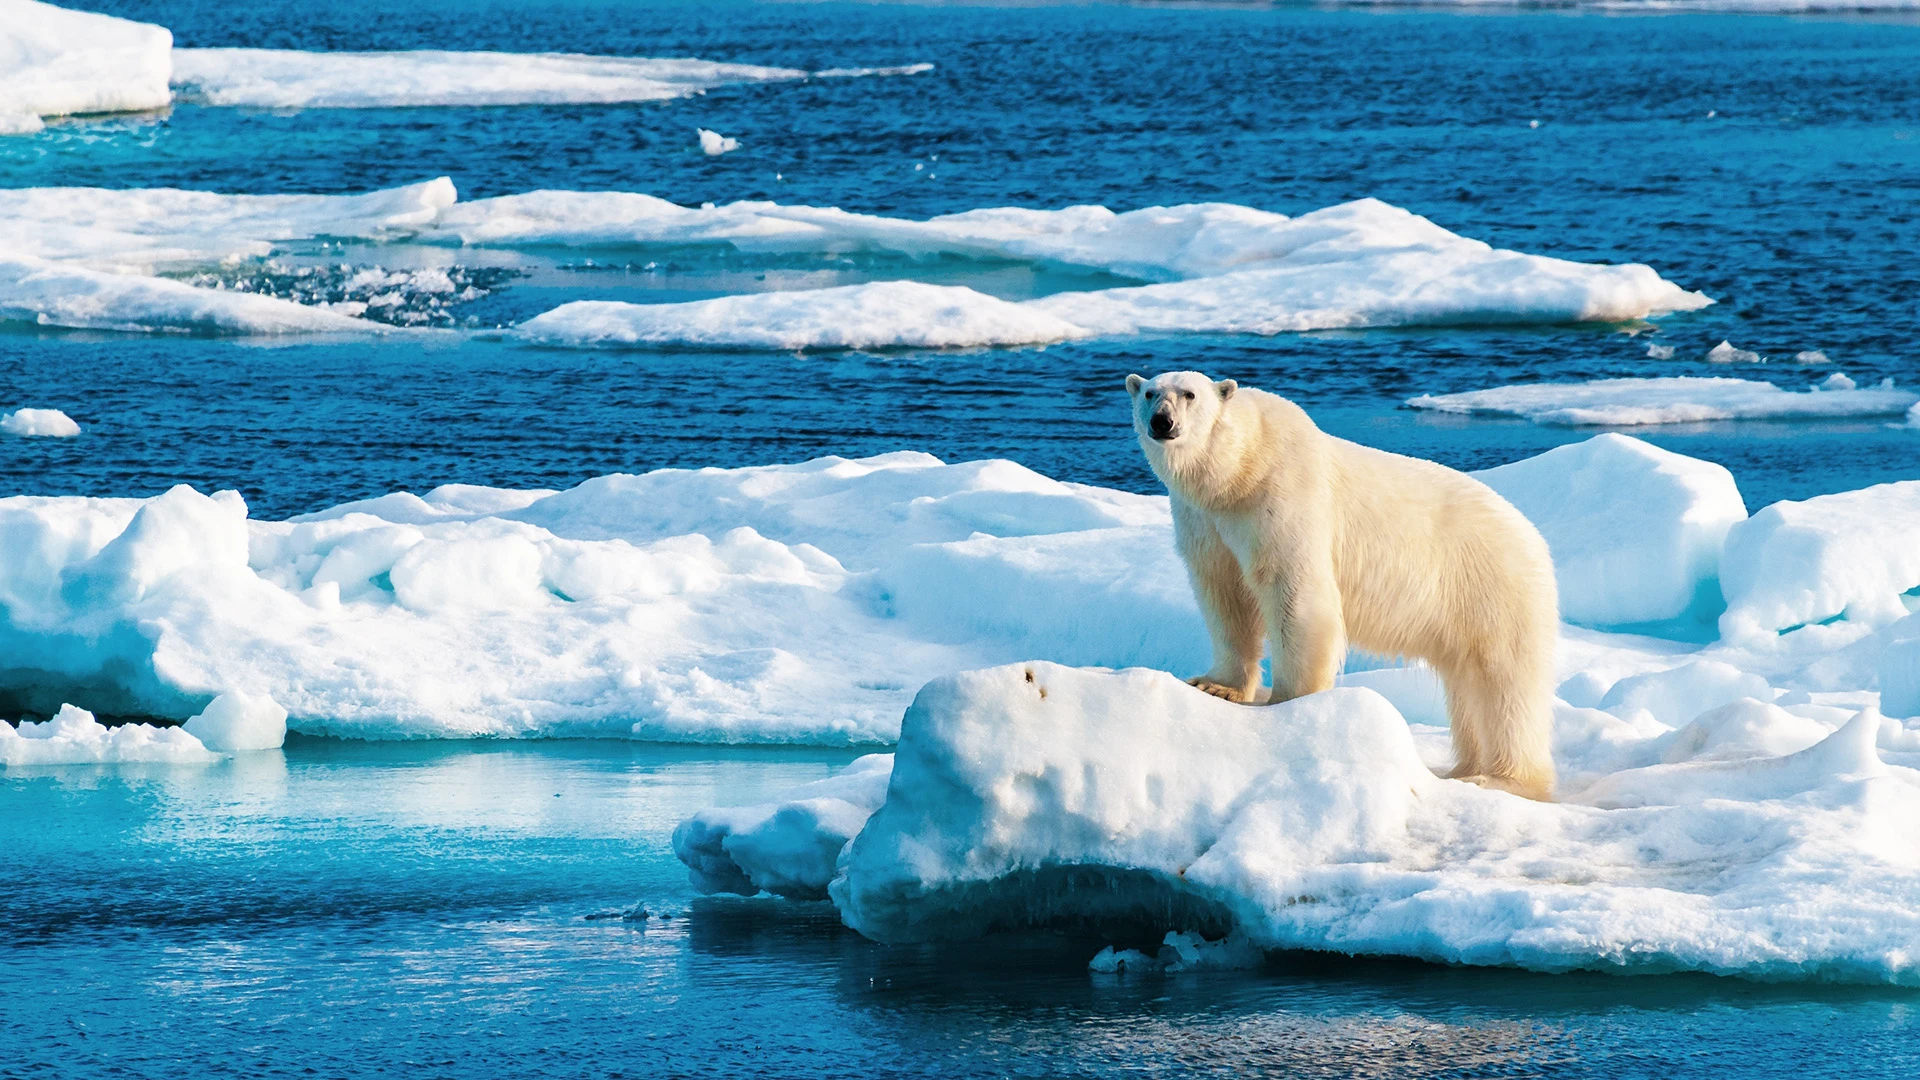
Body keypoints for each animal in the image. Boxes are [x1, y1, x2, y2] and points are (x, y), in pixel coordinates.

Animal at [1126, 370, 1559, 800]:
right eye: (1150, 393)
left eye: (1189, 394)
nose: (1162, 422)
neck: (1240, 470)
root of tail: (1535, 539)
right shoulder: (1204, 520)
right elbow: (1224, 593)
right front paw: (1217, 687)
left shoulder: (1284, 497)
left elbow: (1295, 592)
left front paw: (1291, 704)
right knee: (1469, 687)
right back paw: (1464, 768)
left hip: (1493, 586)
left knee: (1505, 685)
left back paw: (1501, 778)